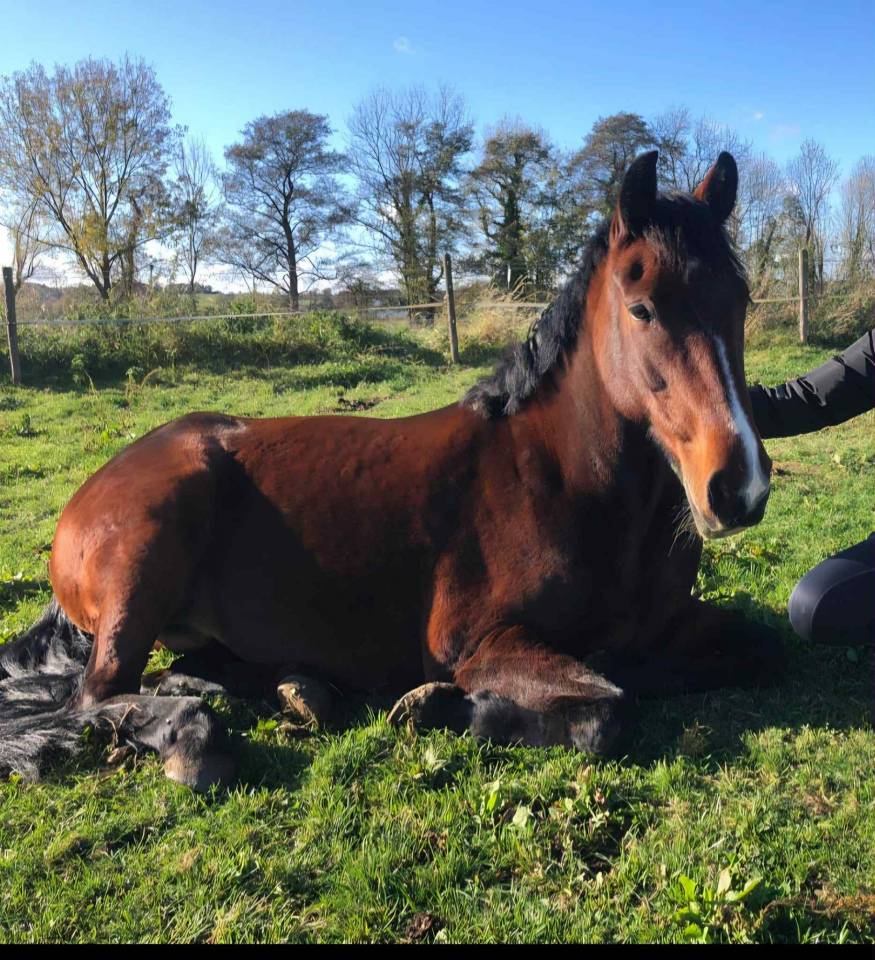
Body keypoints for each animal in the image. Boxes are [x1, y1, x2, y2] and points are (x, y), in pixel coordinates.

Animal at [0, 150, 784, 791]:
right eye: (642, 307)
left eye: (740, 300)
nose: (736, 487)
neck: (567, 480)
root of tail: (94, 489)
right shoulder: (482, 642)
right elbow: (604, 710)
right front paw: (440, 705)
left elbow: (752, 647)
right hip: (146, 563)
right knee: (102, 696)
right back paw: (195, 739)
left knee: (186, 673)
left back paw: (296, 690)